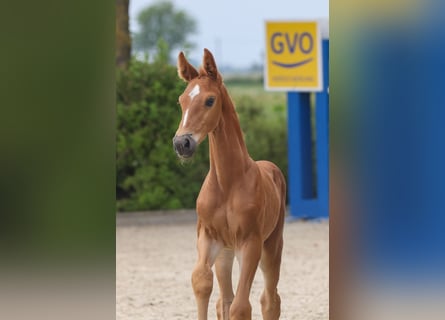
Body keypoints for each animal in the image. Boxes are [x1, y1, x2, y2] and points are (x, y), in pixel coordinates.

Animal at [172, 48, 286, 318]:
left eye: (210, 100)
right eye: (181, 101)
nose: (182, 144)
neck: (227, 183)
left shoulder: (250, 243)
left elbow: (241, 306)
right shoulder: (207, 236)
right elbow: (202, 281)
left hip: (271, 247)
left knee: (270, 299)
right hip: (226, 251)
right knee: (224, 299)